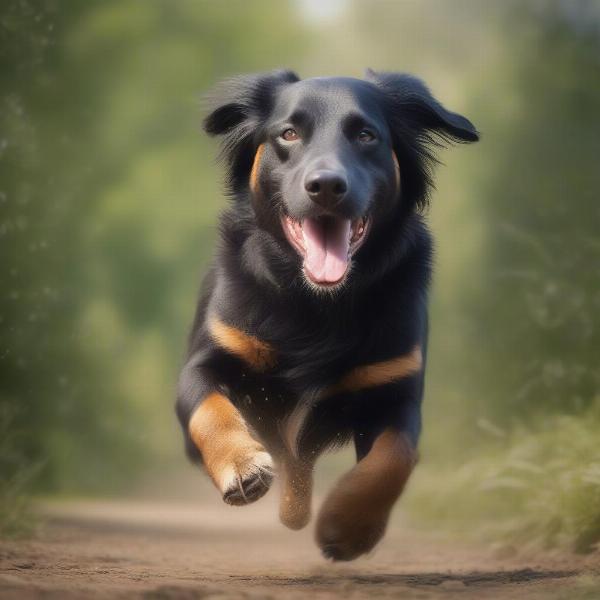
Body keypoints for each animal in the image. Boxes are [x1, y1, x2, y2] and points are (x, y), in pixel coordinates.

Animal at [175, 70, 478, 564]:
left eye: (366, 135)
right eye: (288, 134)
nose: (326, 186)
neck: (318, 302)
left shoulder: (393, 386)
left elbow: (396, 455)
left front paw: (349, 525)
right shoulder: (211, 356)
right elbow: (209, 408)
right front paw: (242, 465)